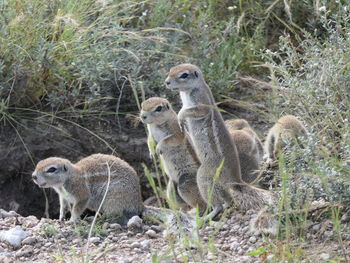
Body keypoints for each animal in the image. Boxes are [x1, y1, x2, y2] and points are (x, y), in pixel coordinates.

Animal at [165, 64, 274, 223]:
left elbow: (194, 111)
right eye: (171, 70)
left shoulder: (200, 100)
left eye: (184, 75)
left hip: (204, 175)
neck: (188, 91)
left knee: (220, 203)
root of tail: (236, 181)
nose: (166, 82)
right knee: (227, 200)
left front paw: (181, 116)